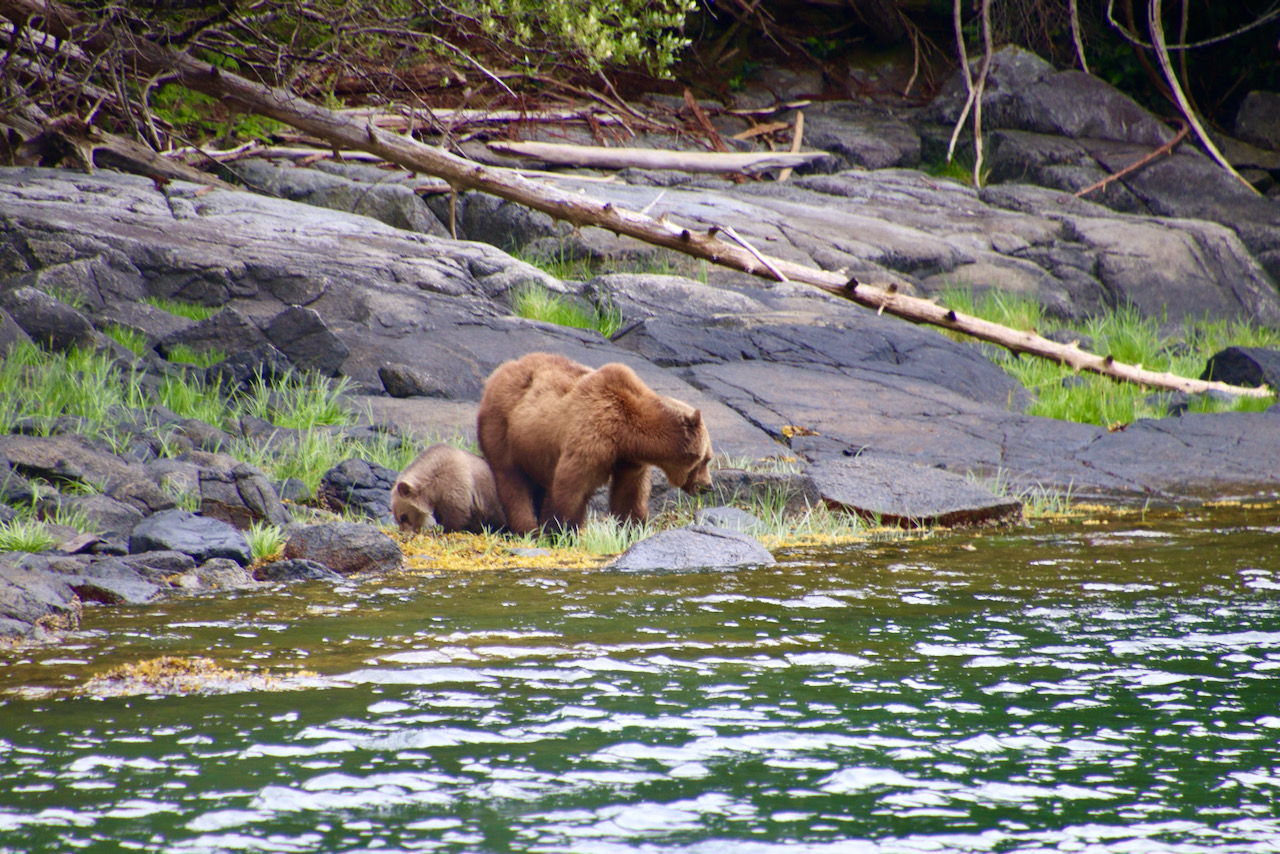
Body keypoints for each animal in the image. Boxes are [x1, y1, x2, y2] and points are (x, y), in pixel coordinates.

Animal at [476, 350, 716, 530]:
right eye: (706, 459)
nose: (708, 486)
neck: (628, 435)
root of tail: (496, 374)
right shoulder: (592, 438)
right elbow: (571, 487)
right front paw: (559, 531)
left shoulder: (630, 460)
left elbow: (630, 494)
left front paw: (633, 527)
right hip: (502, 427)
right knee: (510, 478)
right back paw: (529, 530)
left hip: (533, 445)